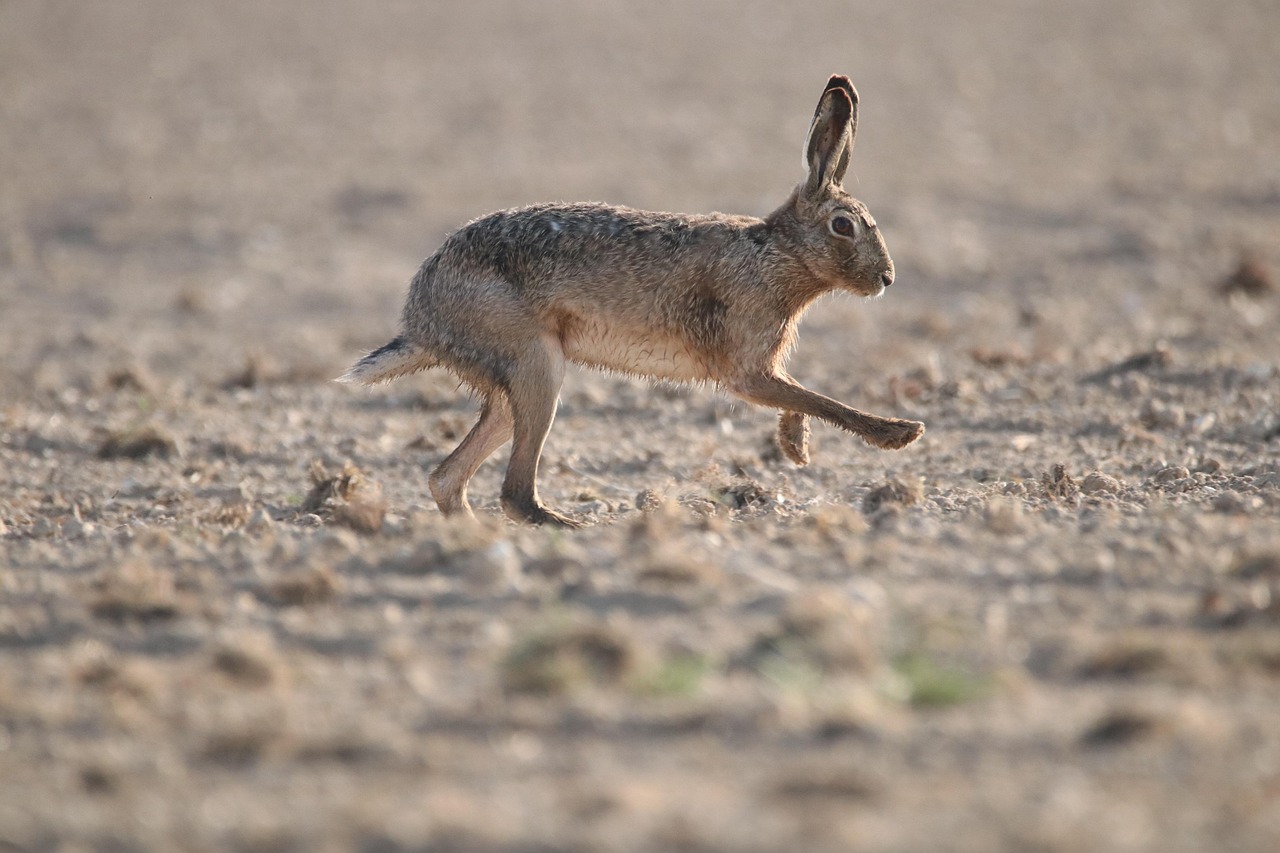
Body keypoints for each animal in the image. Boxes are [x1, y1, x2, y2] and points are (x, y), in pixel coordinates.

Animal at [342, 74, 924, 528]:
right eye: (843, 226)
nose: (887, 278)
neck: (776, 252)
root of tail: (420, 319)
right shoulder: (747, 370)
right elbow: (817, 399)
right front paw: (899, 434)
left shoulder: (764, 368)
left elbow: (800, 399)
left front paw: (795, 448)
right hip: (535, 365)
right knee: (513, 492)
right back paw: (568, 528)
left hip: (516, 387)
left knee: (448, 477)